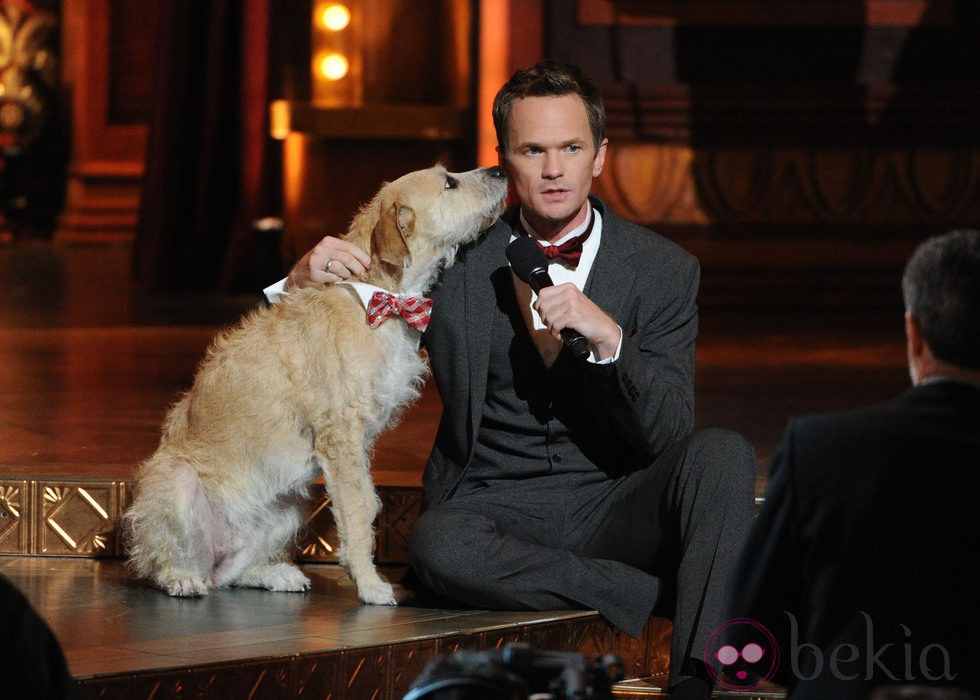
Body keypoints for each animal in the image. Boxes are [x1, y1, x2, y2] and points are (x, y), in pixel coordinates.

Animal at [122, 165, 506, 608]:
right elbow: (358, 511)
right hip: (179, 486)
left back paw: (276, 574)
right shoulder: (341, 438)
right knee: (162, 565)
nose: (499, 169)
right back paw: (181, 579)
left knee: (229, 575)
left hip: (287, 510)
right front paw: (370, 585)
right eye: (449, 183)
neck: (378, 296)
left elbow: (365, 503)